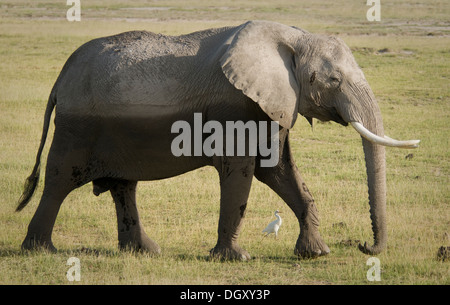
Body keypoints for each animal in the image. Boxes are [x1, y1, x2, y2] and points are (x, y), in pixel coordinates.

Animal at [16, 20, 418, 258]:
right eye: (333, 81)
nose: (365, 246)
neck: (292, 37)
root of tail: (61, 77)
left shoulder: (271, 105)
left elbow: (278, 172)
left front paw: (316, 253)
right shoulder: (236, 105)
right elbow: (242, 174)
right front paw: (234, 258)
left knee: (122, 186)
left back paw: (146, 251)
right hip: (78, 125)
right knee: (60, 181)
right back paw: (41, 251)